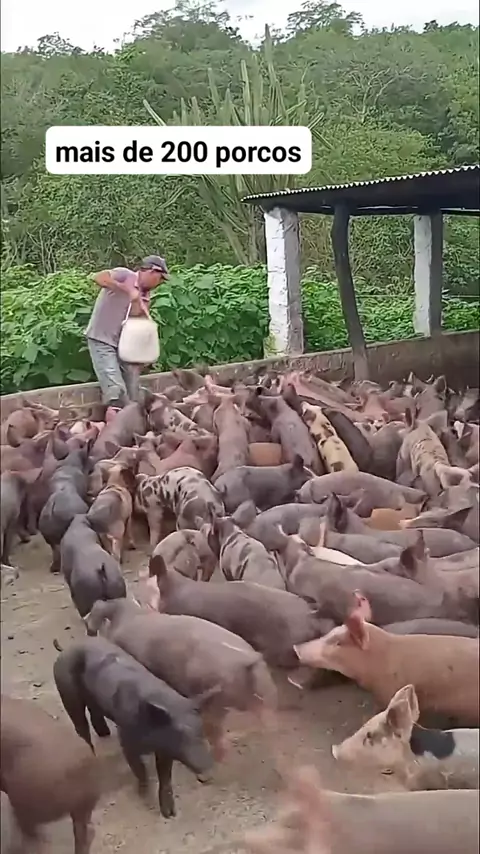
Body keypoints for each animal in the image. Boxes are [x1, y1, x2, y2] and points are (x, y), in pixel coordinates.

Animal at [53, 636, 214, 818]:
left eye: (200, 729)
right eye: (181, 734)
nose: (208, 769)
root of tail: (67, 649)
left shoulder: (165, 749)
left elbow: (165, 777)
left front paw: (170, 814)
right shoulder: (126, 740)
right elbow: (140, 769)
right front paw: (145, 797)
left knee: (94, 712)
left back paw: (104, 733)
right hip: (67, 692)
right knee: (81, 727)